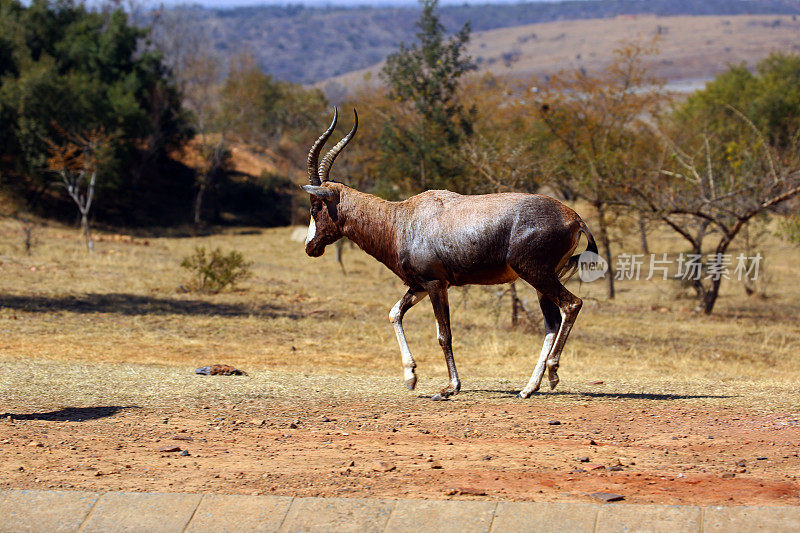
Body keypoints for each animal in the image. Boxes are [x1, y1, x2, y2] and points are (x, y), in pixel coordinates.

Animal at [304, 108, 596, 400]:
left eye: (315, 206)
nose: (310, 247)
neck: (401, 218)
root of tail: (572, 216)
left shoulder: (435, 284)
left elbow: (444, 334)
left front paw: (449, 388)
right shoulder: (420, 286)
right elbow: (395, 313)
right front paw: (411, 377)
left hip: (536, 274)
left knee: (571, 305)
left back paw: (552, 373)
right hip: (541, 280)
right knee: (551, 323)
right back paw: (528, 389)